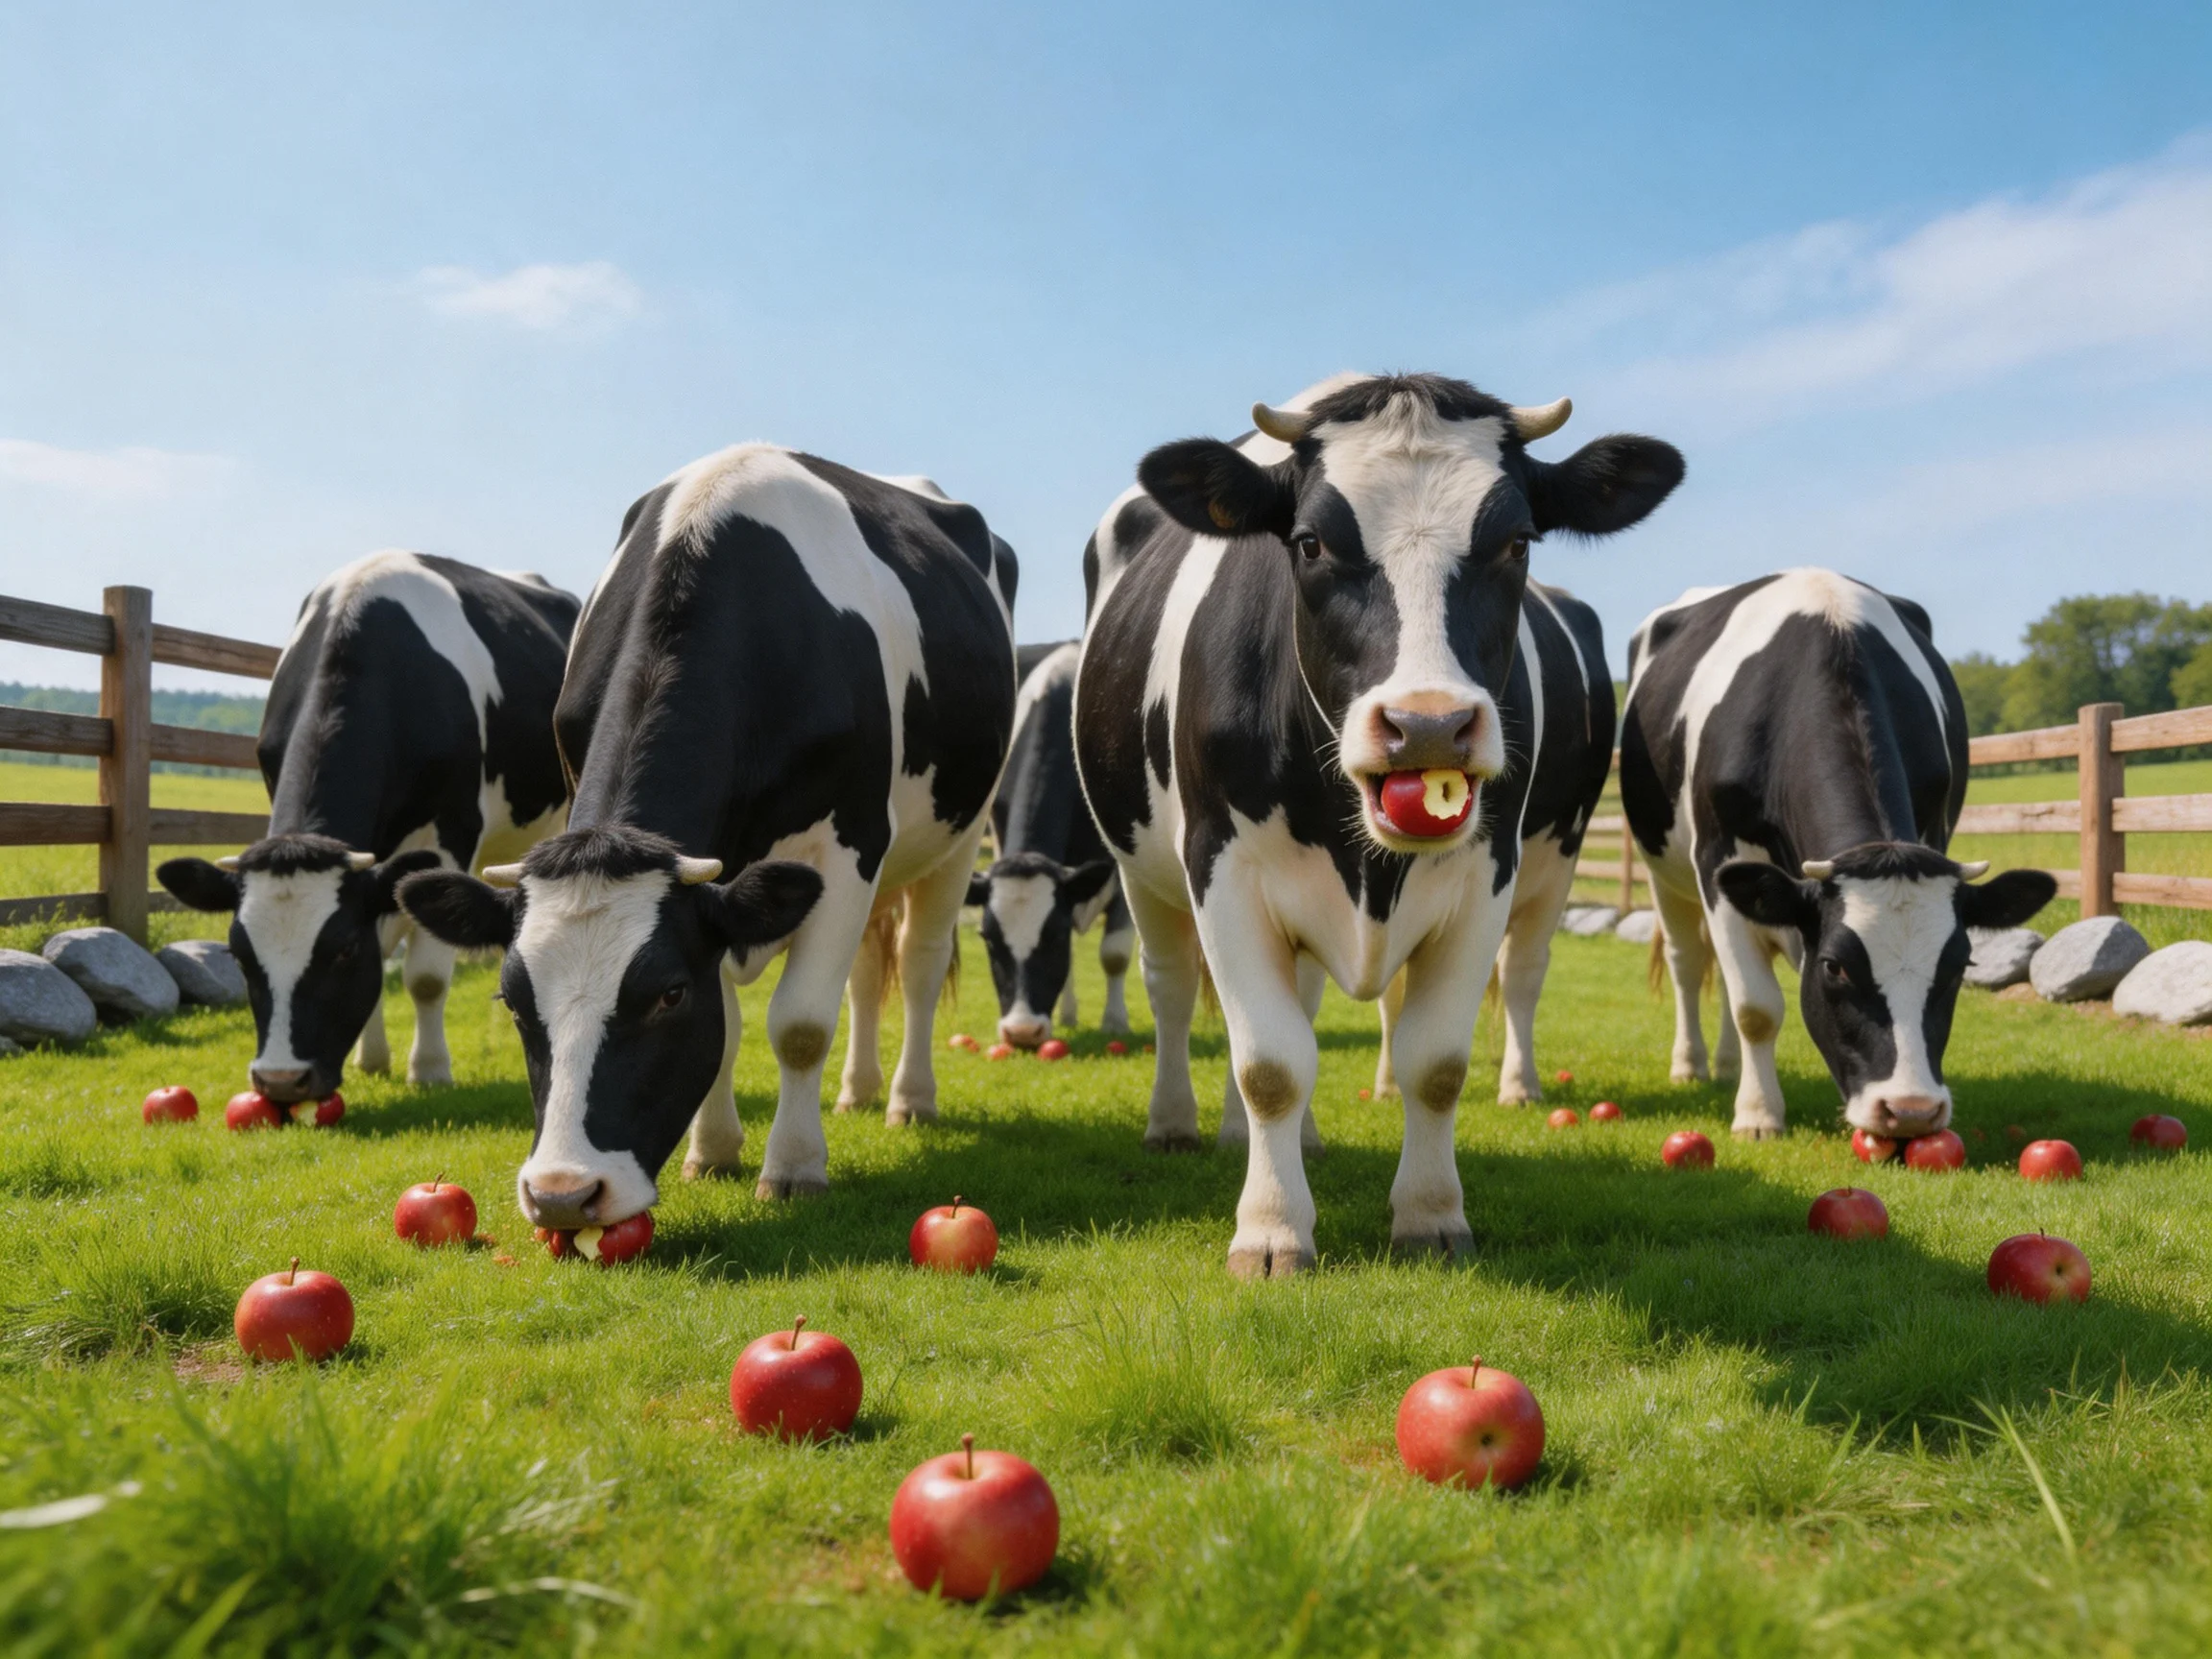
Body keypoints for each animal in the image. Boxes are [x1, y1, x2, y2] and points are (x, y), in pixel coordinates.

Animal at [155, 551, 579, 1104]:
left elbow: (425, 977)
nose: (282, 1080)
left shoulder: (452, 832)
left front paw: (430, 1069)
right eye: (239, 955)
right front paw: (372, 1059)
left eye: (342, 952)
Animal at [395, 445, 1018, 1232]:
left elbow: (800, 1024)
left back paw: (910, 1100)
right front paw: (714, 1151)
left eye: (667, 995)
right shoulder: (712, 885)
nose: (564, 1192)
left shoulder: (850, 846)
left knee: (918, 964)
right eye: (512, 999)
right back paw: (859, 1091)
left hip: (960, 834)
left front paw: (794, 1169)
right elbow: (732, 1029)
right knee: (868, 972)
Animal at [966, 639, 1135, 1049]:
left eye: (1053, 936)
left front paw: (1115, 1022)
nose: (1022, 1032)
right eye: (987, 937)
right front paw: (1065, 1017)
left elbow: (1114, 953)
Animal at [1074, 372, 1682, 1276]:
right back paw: (1176, 1122)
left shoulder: (1487, 875)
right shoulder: (1221, 865)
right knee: (1174, 988)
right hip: (1142, 869)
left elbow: (1434, 1064)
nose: (1428, 726)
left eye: (1518, 543)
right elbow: (1269, 1064)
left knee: (1500, 977)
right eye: (1309, 543)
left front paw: (1431, 1216)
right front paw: (1271, 1230)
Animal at [1617, 568, 2055, 1141]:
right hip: (1663, 871)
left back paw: (1729, 1065)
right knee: (1688, 962)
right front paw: (1758, 1116)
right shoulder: (1716, 862)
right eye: (1835, 967)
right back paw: (1692, 1065)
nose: (1911, 1110)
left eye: (1961, 964)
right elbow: (1755, 1005)